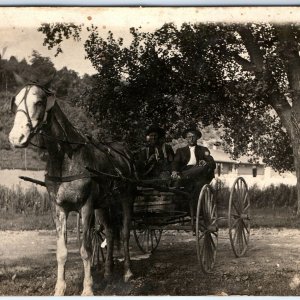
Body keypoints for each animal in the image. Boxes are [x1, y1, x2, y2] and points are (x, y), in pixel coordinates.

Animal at [8, 78, 135, 296]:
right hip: (103, 206)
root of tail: (123, 152)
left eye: (39, 102)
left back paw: (127, 272)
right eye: (15, 103)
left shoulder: (86, 207)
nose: (16, 138)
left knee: (125, 233)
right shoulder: (59, 209)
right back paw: (108, 273)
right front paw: (60, 289)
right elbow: (61, 252)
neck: (66, 157)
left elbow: (86, 250)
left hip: (126, 199)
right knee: (110, 233)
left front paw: (88, 289)